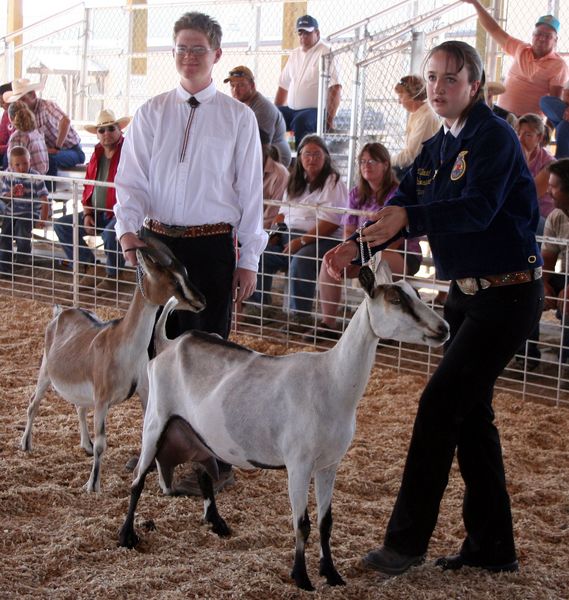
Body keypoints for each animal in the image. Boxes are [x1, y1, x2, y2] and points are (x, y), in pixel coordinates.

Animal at [21, 237, 205, 494]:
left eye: (185, 273)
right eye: (173, 280)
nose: (201, 301)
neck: (124, 345)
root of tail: (60, 313)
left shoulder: (145, 393)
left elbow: (150, 436)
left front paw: (163, 485)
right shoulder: (102, 398)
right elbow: (102, 442)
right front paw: (92, 485)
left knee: (79, 407)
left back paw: (85, 446)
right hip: (46, 370)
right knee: (33, 403)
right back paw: (26, 444)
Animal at [118, 258, 448, 592]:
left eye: (415, 294)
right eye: (395, 299)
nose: (443, 329)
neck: (332, 380)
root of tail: (169, 343)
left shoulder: (329, 464)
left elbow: (326, 523)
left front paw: (332, 574)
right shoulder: (299, 463)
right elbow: (302, 523)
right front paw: (301, 577)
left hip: (196, 431)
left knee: (202, 471)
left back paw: (218, 524)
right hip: (156, 419)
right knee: (137, 479)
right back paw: (127, 536)